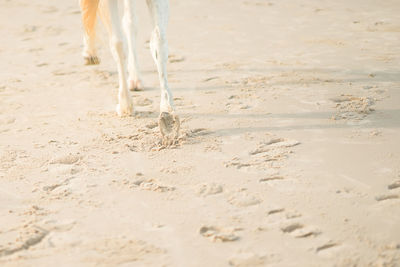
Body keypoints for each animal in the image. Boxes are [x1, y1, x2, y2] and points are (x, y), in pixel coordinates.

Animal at [79, 0, 180, 144]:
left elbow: (159, 41)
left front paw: (168, 114)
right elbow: (118, 43)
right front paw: (125, 104)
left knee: (130, 22)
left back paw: (135, 79)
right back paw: (90, 52)